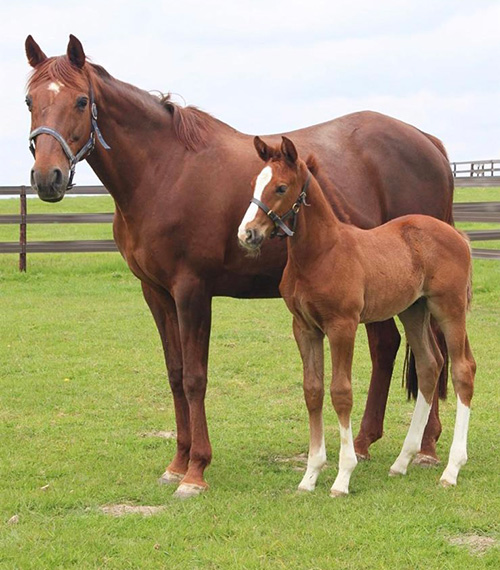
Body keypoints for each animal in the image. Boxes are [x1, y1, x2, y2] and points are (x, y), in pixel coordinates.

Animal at [238, 135, 476, 494]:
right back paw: (402, 461)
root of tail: (457, 235)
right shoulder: (304, 328)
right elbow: (313, 391)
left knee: (462, 369)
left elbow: (341, 393)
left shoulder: (343, 326)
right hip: (414, 311)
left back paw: (451, 469)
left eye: (280, 187)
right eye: (255, 182)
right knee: (430, 366)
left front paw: (343, 475)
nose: (247, 234)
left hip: (449, 308)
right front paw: (310, 475)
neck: (320, 254)